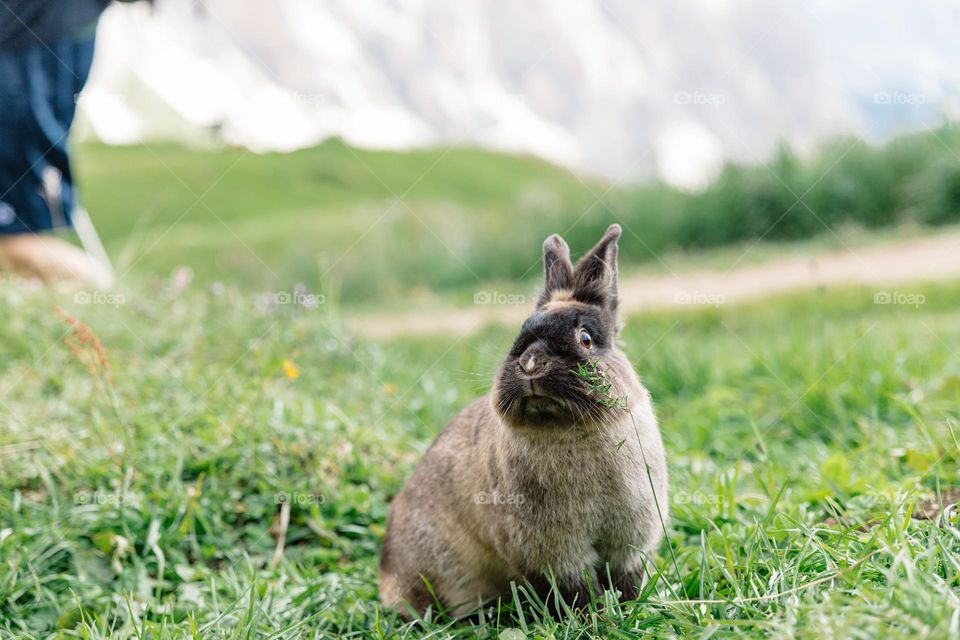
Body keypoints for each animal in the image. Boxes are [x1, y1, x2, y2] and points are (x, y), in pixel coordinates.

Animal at [376, 225, 668, 620]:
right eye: (521, 334)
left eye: (586, 339)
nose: (531, 363)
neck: (566, 430)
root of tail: (386, 578)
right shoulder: (553, 554)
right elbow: (575, 589)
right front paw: (592, 618)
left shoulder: (629, 543)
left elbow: (625, 579)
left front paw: (627, 609)